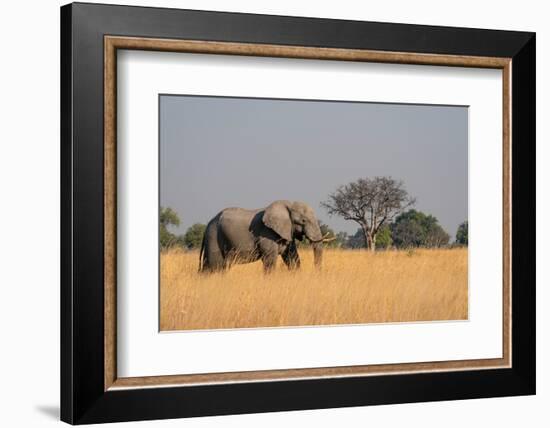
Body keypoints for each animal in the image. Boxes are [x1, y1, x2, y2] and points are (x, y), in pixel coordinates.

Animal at [201, 200, 334, 272]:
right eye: (303, 221)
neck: (288, 204)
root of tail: (208, 224)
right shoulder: (266, 233)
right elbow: (270, 260)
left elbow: (292, 257)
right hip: (214, 236)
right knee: (215, 265)